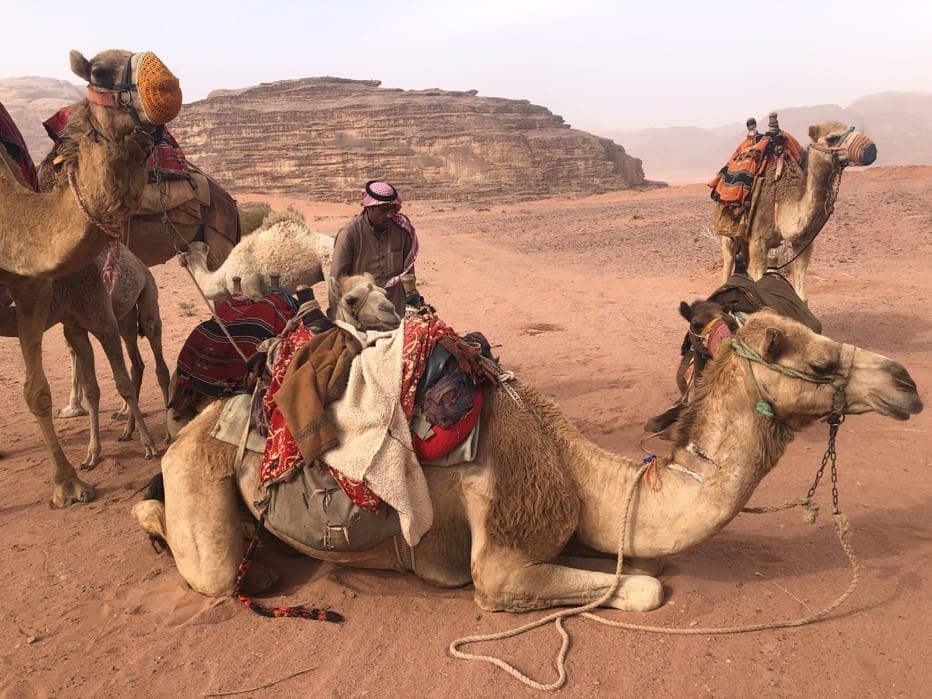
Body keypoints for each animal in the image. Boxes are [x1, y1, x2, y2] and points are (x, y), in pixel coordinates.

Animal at [0, 49, 180, 508]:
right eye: (99, 72)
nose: (166, 83)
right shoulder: (75, 322)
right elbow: (92, 385)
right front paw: (86, 461)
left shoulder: (65, 304)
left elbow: (64, 388)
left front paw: (72, 482)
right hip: (123, 319)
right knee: (135, 365)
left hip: (147, 309)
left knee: (154, 364)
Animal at [716, 115, 876, 304]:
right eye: (832, 138)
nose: (870, 148)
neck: (783, 200)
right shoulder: (758, 242)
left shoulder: (803, 242)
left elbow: (802, 296)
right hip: (729, 232)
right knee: (728, 262)